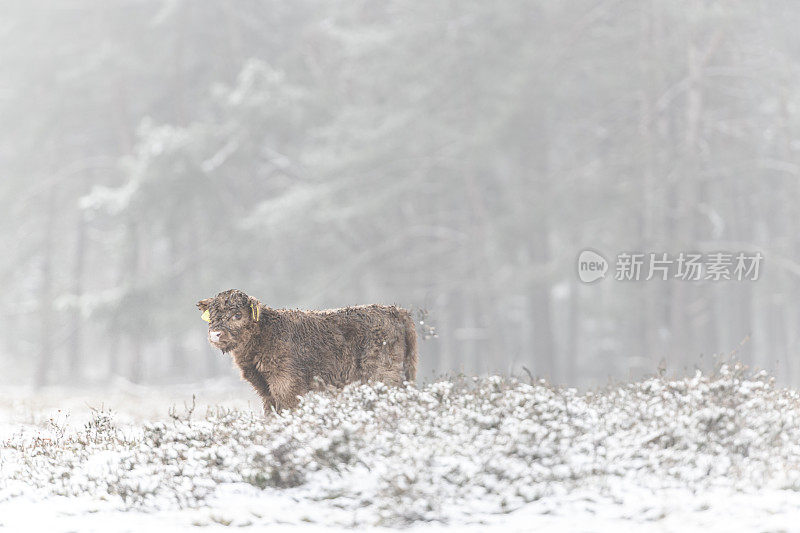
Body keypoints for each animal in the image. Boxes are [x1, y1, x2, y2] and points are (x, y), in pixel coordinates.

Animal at [196, 288, 418, 410]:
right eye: (212, 315)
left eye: (237, 315)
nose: (216, 334)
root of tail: (396, 311)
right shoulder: (266, 391)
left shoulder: (287, 385)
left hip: (383, 376)